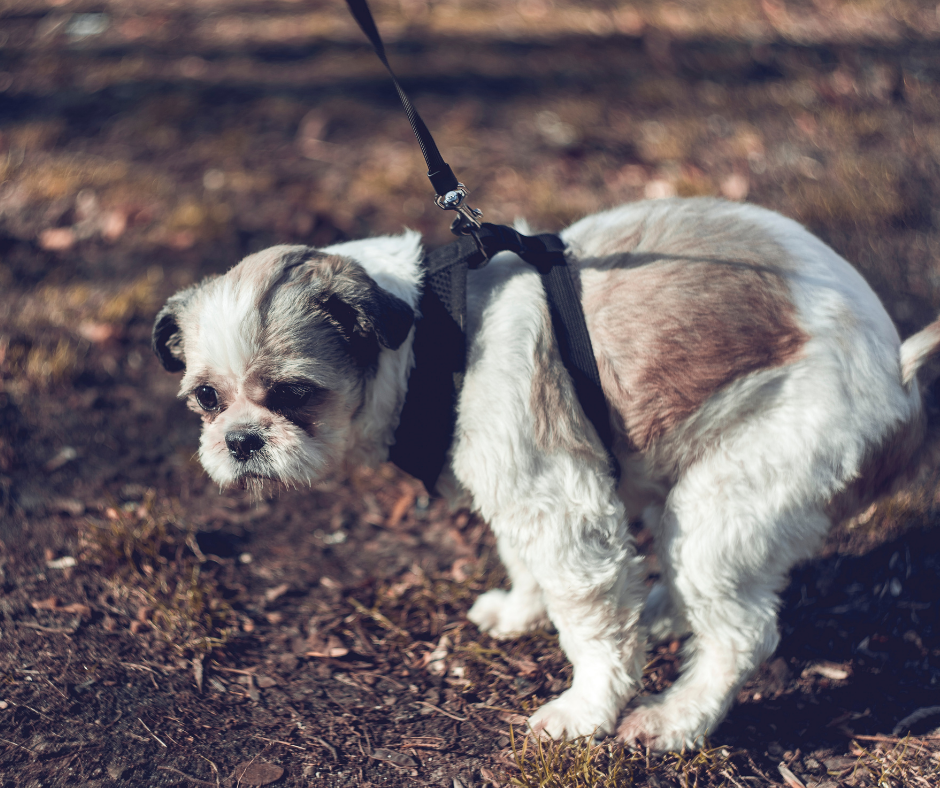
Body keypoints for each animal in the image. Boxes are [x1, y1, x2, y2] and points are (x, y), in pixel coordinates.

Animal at [151, 199, 936, 752]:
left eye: (291, 393)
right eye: (207, 398)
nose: (241, 440)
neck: (439, 332)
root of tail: (896, 372)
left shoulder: (561, 507)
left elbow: (594, 629)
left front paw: (586, 711)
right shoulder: (520, 494)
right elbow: (524, 561)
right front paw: (522, 611)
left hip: (730, 497)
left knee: (740, 632)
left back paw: (676, 719)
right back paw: (662, 612)